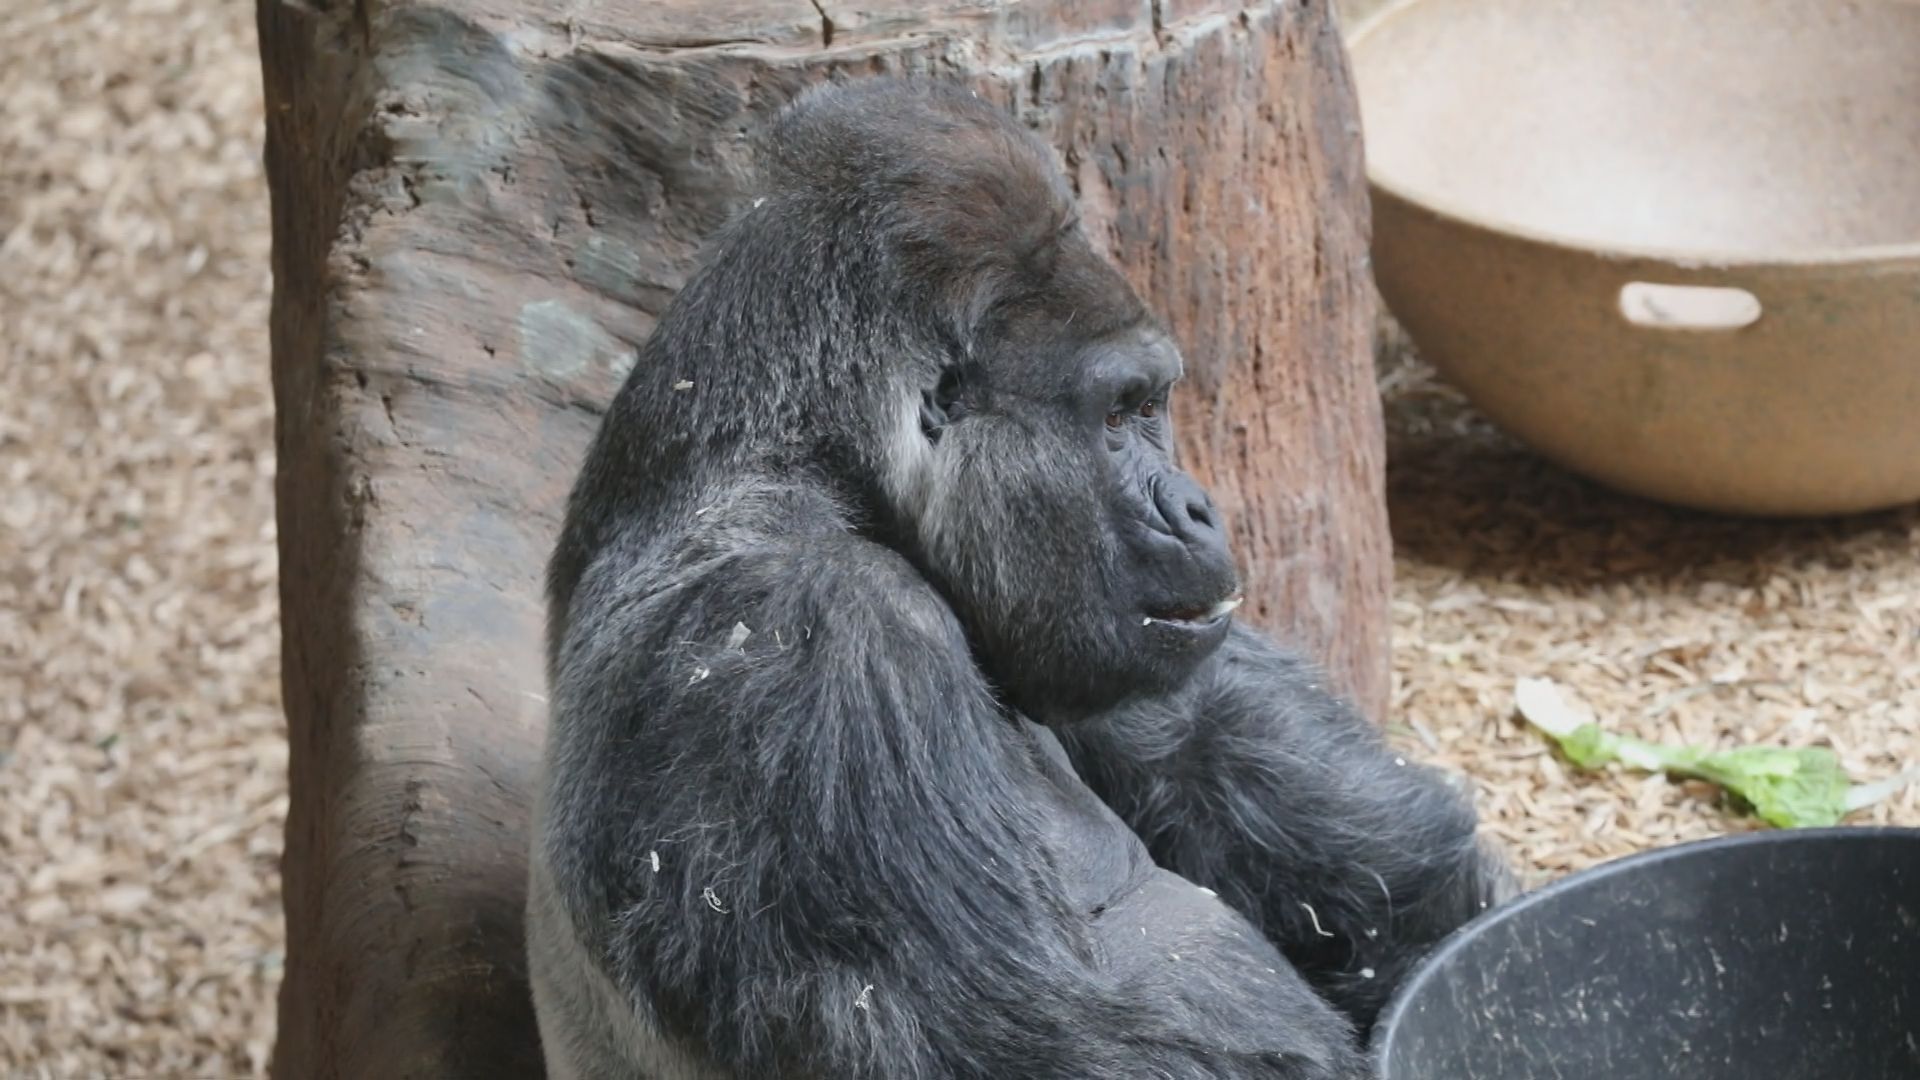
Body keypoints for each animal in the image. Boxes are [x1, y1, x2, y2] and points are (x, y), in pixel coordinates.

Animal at [529, 77, 1512, 1076]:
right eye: (1119, 414)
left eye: (1151, 407)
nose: (1198, 507)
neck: (800, 466)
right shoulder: (813, 636)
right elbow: (1030, 1037)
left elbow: (1203, 741)